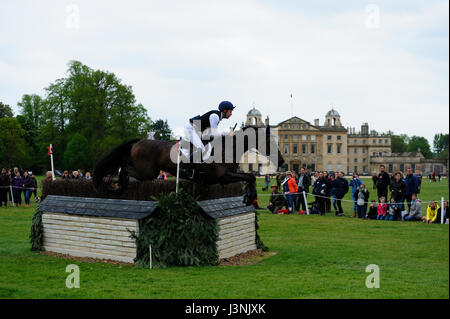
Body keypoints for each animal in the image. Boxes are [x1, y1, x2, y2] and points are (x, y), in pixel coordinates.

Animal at [92, 125, 284, 200]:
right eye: (270, 141)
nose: (282, 160)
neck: (228, 148)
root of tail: (141, 140)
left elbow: (250, 176)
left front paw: (250, 196)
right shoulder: (223, 177)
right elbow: (250, 176)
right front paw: (250, 197)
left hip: (147, 170)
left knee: (123, 163)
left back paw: (118, 185)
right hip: (148, 171)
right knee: (123, 166)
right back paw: (118, 185)